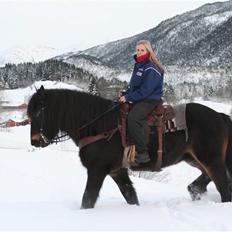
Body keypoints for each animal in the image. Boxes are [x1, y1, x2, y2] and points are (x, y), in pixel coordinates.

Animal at [27, 85, 232, 208]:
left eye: (38, 112)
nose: (35, 141)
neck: (100, 126)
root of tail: (219, 116)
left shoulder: (97, 170)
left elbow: (88, 199)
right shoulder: (117, 171)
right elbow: (130, 195)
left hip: (211, 159)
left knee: (224, 186)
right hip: (194, 158)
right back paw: (195, 189)